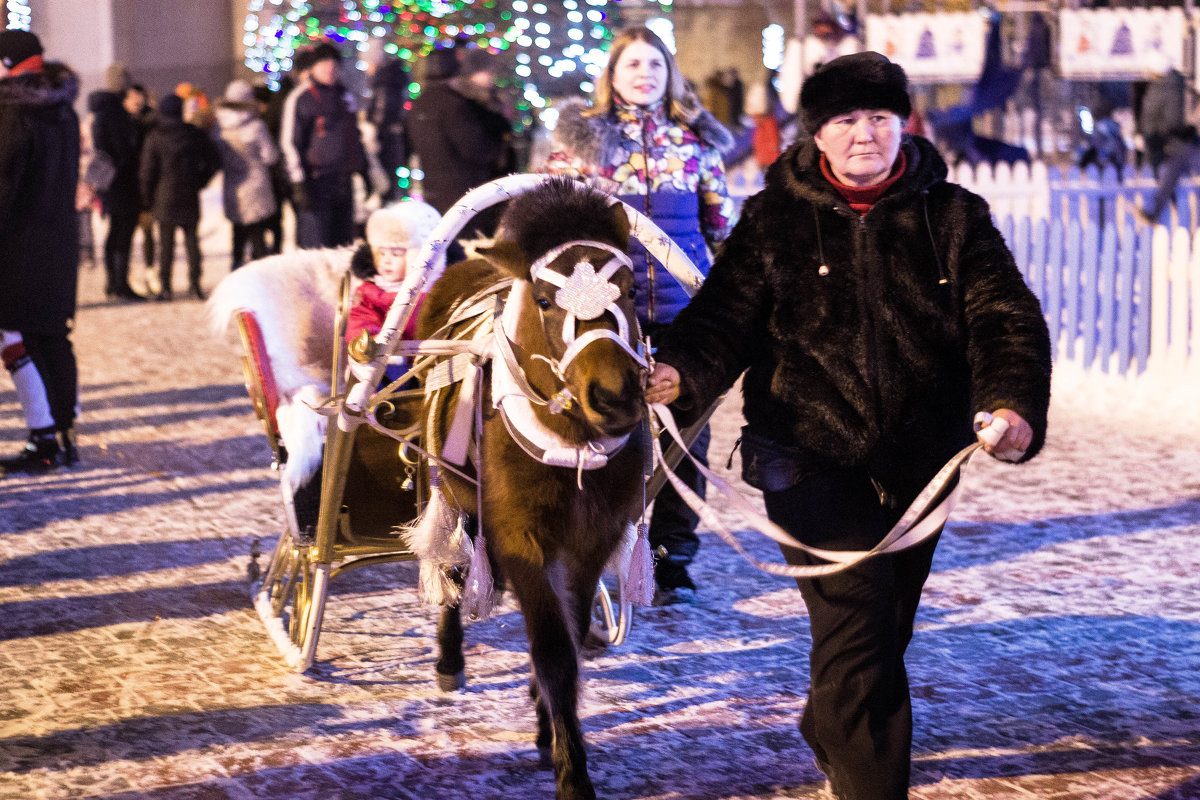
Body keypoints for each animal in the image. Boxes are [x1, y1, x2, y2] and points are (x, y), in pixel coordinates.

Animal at [415, 179, 652, 800]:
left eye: (631, 288)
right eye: (546, 302)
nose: (615, 396)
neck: (572, 444)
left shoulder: (591, 538)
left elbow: (571, 631)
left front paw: (550, 726)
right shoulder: (519, 536)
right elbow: (552, 648)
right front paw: (571, 768)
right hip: (454, 498)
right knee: (453, 569)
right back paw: (449, 659)